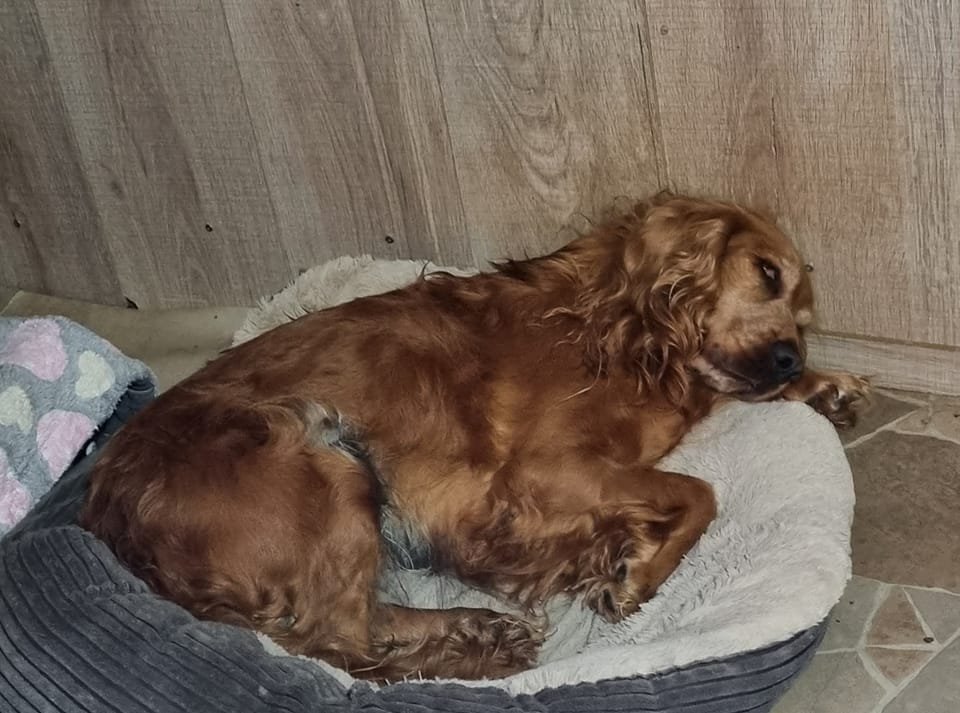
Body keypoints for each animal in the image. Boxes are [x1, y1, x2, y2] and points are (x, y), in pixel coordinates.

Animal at [80, 192, 868, 682]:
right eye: (765, 273)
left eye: (804, 317)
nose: (791, 355)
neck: (623, 333)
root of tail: (110, 518)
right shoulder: (543, 471)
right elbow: (700, 493)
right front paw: (635, 574)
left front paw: (826, 383)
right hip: (322, 459)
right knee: (337, 646)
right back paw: (477, 659)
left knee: (355, 625)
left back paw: (479, 626)